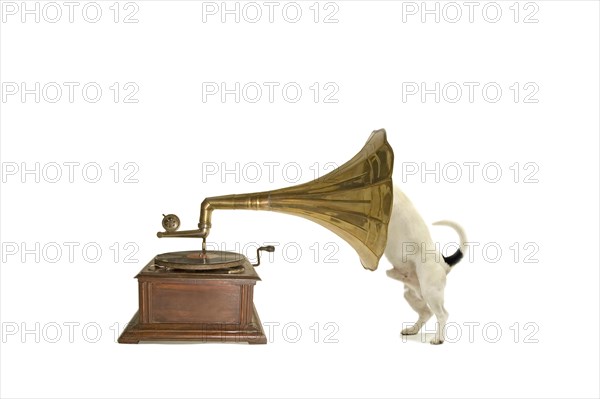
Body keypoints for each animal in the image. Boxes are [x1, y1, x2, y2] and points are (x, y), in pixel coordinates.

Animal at [384, 186, 468, 346]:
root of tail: (443, 262)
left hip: (431, 293)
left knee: (442, 314)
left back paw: (438, 338)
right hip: (411, 294)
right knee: (426, 313)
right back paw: (412, 330)